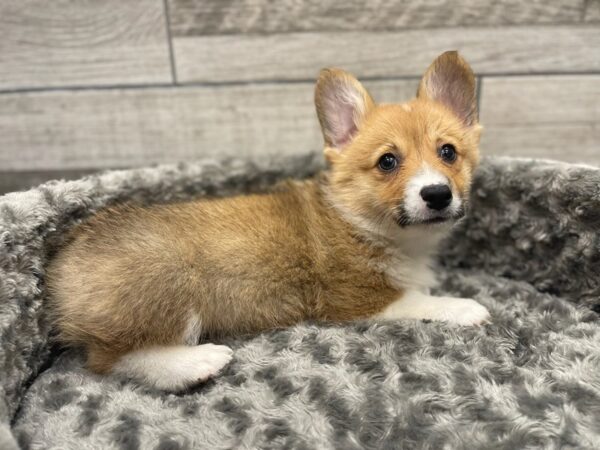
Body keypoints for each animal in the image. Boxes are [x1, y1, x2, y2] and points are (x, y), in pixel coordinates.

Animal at [45, 51, 488, 390]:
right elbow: (420, 301)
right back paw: (196, 363)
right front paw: (465, 306)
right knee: (109, 357)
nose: (437, 194)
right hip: (171, 279)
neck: (366, 224)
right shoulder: (357, 299)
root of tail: (62, 266)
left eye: (448, 152)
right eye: (388, 161)